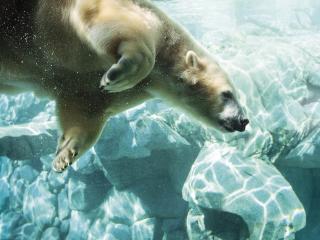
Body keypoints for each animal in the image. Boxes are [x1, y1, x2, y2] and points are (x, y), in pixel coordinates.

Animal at [0, 0, 249, 172]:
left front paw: (64, 154)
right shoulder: (138, 15)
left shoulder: (90, 87)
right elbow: (117, 25)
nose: (243, 120)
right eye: (227, 94)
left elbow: (84, 109)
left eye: (235, 95)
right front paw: (116, 77)